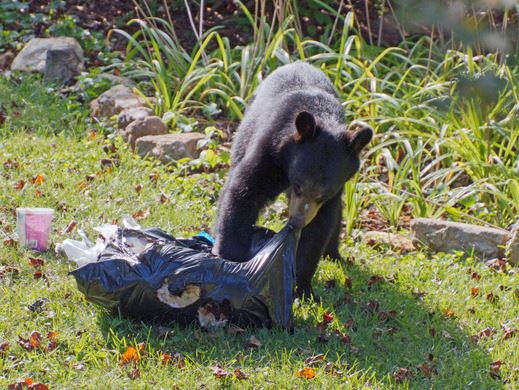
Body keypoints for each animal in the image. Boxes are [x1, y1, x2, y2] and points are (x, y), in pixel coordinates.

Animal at [213, 62, 372, 298]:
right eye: (298, 186)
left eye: (323, 195)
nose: (297, 221)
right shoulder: (270, 151)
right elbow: (244, 191)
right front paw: (231, 259)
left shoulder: (334, 191)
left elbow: (320, 226)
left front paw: (302, 286)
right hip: (243, 133)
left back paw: (334, 254)